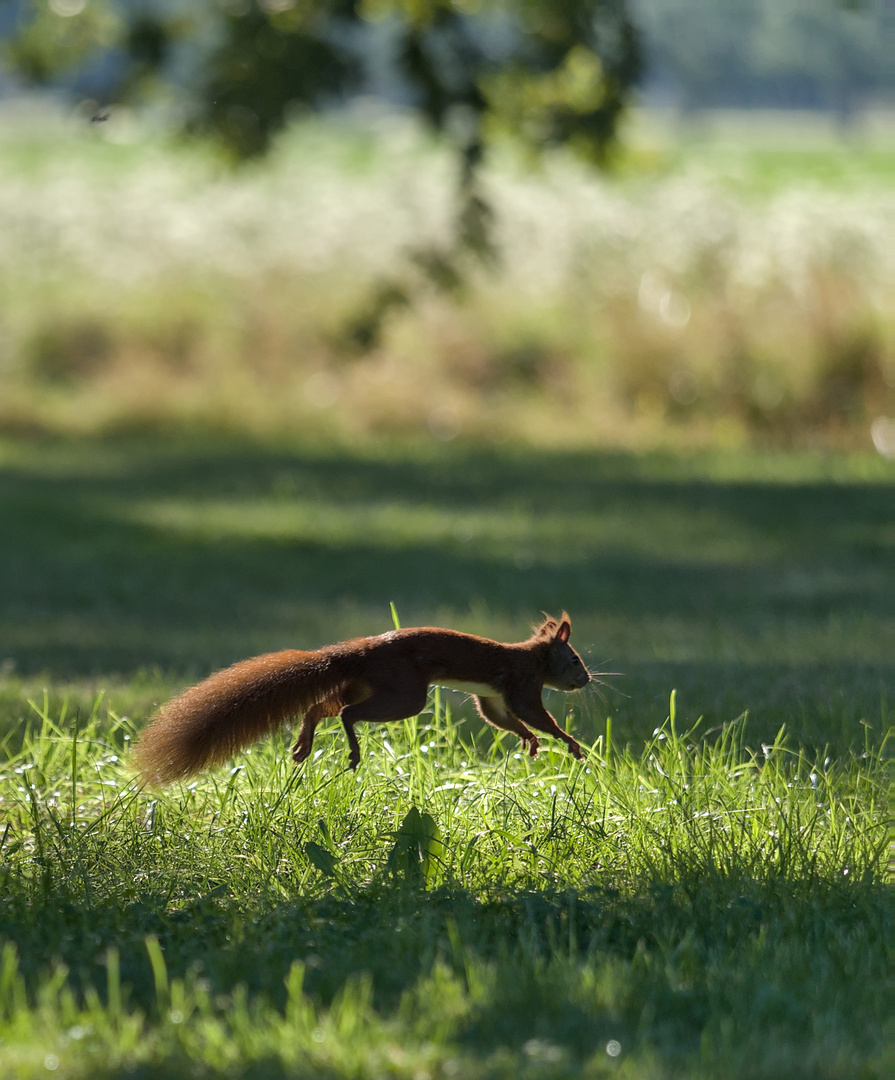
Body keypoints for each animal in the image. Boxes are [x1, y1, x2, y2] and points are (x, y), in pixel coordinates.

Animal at [136, 617, 591, 786]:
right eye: (574, 659)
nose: (586, 680)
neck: (534, 656)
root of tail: (362, 652)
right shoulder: (522, 684)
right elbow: (533, 714)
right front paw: (569, 743)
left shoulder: (493, 698)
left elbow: (503, 719)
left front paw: (530, 741)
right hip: (404, 694)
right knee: (347, 713)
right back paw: (352, 752)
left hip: (366, 686)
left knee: (319, 708)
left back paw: (303, 744)